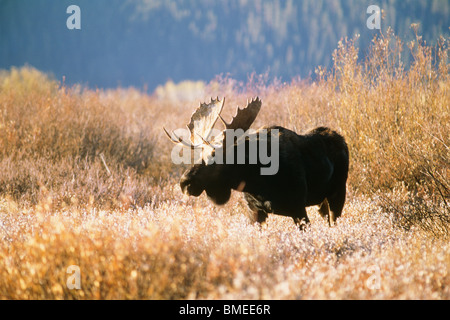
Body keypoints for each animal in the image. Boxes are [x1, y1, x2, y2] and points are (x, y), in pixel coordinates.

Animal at [163, 97, 350, 228]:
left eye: (215, 156)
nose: (184, 183)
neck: (257, 180)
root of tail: (342, 140)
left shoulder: (298, 208)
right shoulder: (255, 212)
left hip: (338, 193)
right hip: (321, 201)